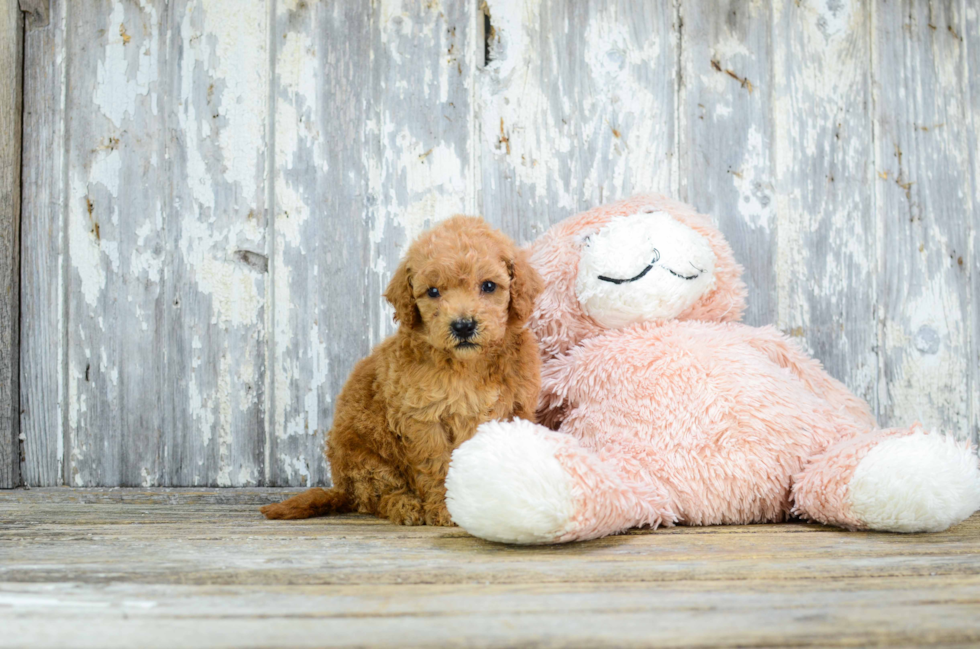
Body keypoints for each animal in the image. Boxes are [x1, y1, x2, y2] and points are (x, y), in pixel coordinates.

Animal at [262, 215, 544, 524]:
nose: (463, 326)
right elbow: (438, 467)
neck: (468, 365)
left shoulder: (515, 410)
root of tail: (341, 489)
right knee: (375, 497)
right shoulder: (424, 419)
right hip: (365, 459)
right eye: (433, 292)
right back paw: (405, 506)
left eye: (489, 286)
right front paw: (447, 509)